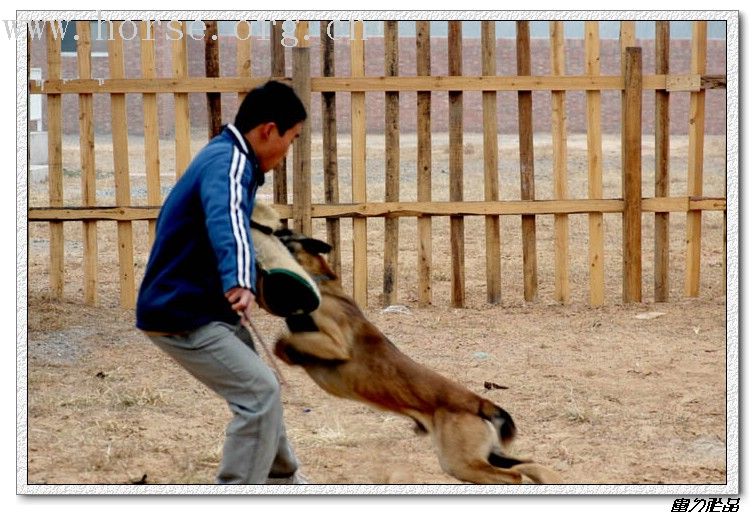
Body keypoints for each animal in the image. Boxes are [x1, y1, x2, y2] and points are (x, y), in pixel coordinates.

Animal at [272, 232, 560, 486]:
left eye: (284, 238)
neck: (321, 283)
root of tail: (480, 402)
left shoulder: (335, 343)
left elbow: (282, 342)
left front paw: (290, 353)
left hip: (460, 462)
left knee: (515, 476)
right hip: (486, 455)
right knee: (529, 464)